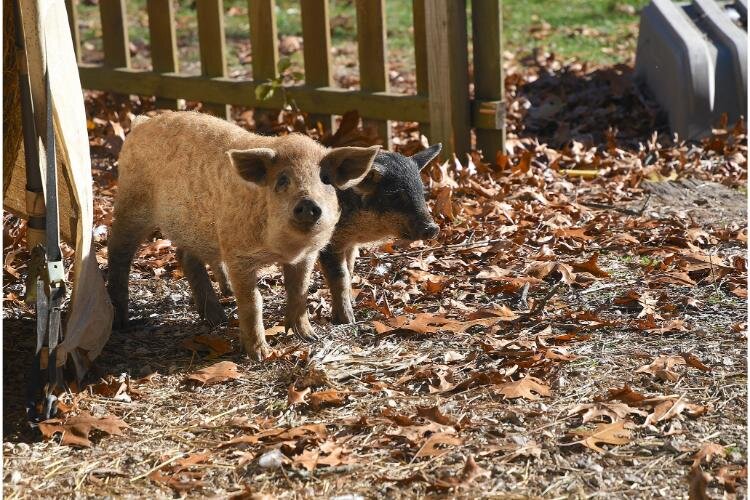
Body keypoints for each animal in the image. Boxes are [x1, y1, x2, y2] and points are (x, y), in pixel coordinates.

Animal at [108, 111, 378, 360]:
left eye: (325, 179)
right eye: (282, 180)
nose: (307, 203)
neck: (285, 248)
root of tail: (142, 122)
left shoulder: (307, 255)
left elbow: (299, 290)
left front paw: (309, 337)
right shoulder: (238, 254)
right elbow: (252, 301)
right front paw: (260, 356)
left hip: (192, 228)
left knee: (185, 257)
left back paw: (217, 319)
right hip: (131, 205)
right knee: (117, 252)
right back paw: (122, 322)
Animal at [318, 145, 444, 324]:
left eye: (421, 193)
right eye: (396, 196)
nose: (433, 228)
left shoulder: (349, 244)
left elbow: (350, 270)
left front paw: (353, 303)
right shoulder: (330, 244)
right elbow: (340, 277)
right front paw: (348, 320)